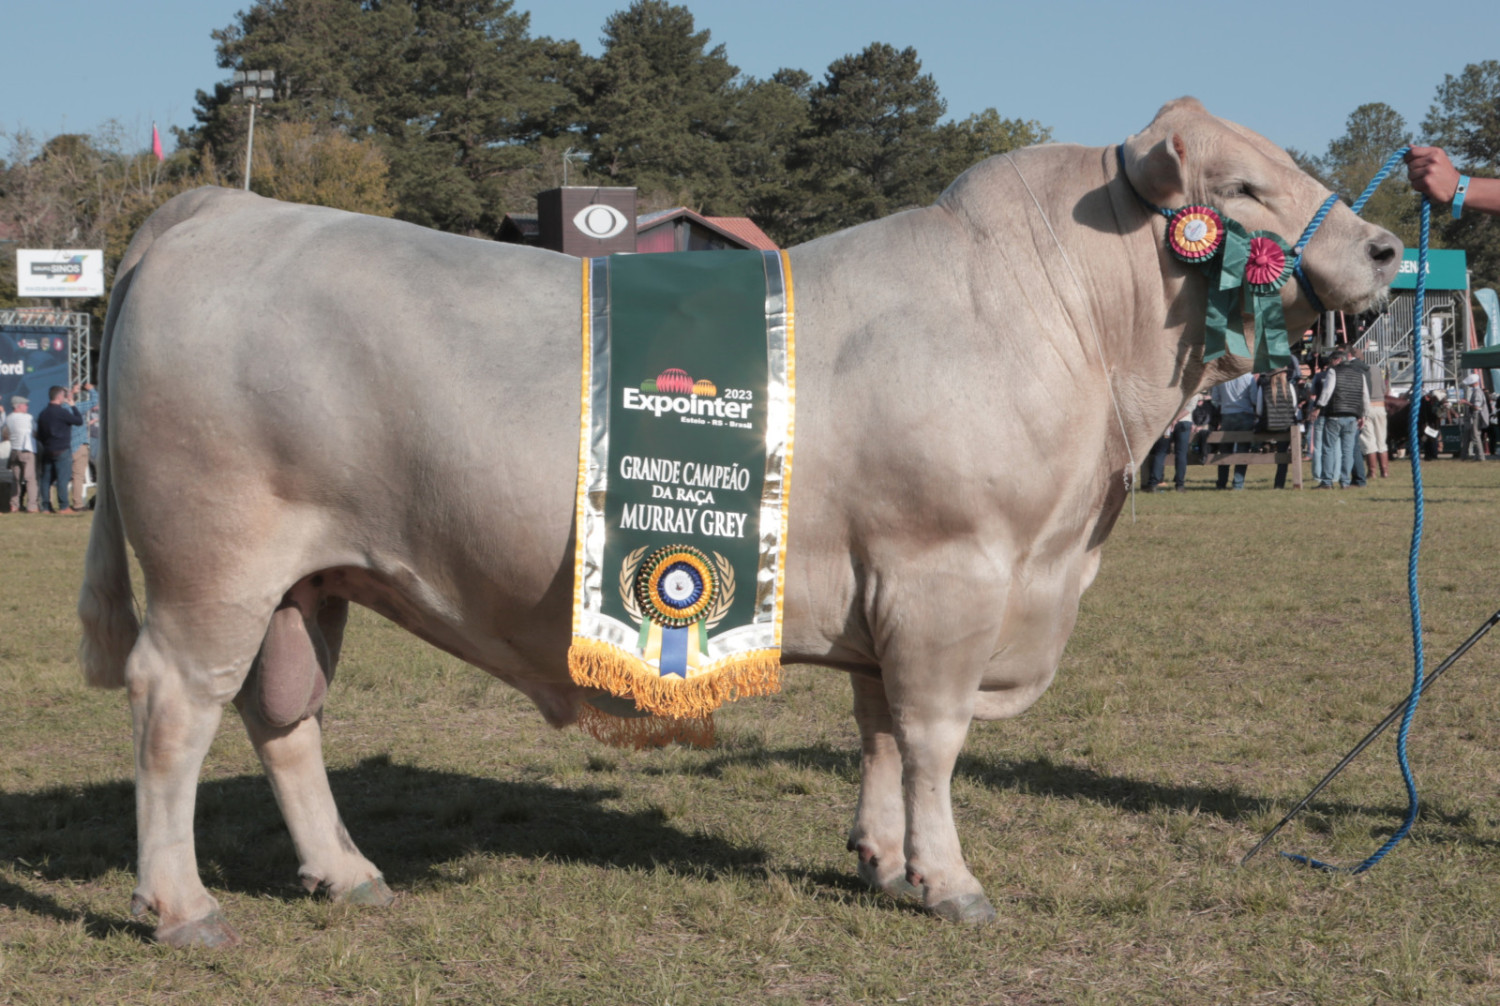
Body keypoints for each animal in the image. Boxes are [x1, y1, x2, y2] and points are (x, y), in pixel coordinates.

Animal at [79, 98, 1392, 947]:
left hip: (309, 580)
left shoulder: (890, 587)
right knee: (173, 708)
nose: (1384, 247)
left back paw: (346, 874)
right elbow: (933, 738)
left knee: (280, 717)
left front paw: (883, 860)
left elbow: (876, 732)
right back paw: (182, 907)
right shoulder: (950, 572)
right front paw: (951, 880)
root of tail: (216, 211)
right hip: (212, 561)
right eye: (1244, 189)